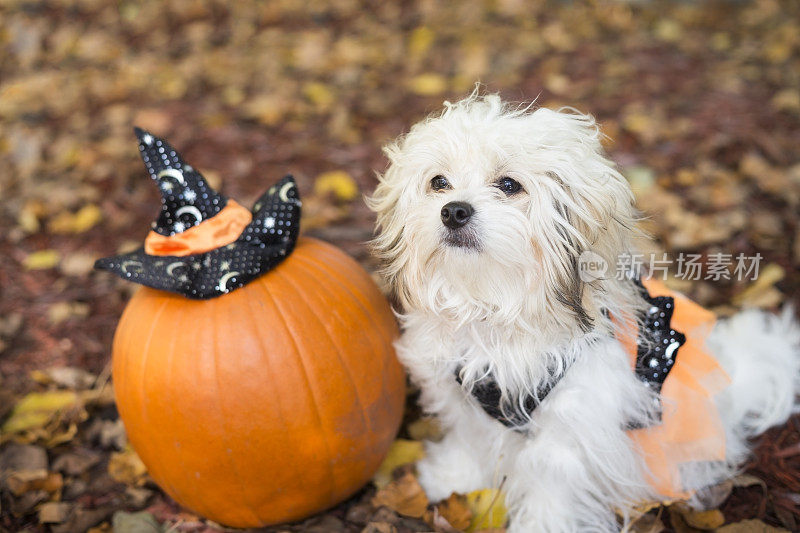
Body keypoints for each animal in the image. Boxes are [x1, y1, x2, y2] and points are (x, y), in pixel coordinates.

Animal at [368, 93, 800, 528]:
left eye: (509, 185)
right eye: (438, 182)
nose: (453, 210)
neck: (495, 302)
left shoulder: (570, 424)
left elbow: (550, 485)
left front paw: (540, 525)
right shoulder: (463, 398)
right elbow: (470, 441)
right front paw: (451, 477)